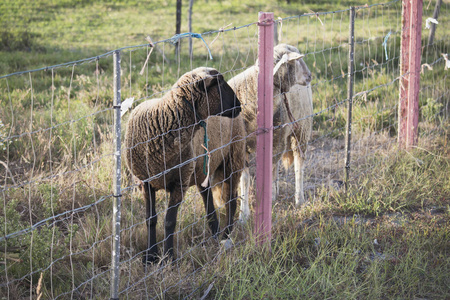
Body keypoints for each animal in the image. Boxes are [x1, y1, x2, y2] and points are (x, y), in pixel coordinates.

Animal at [123, 67, 243, 262]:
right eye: (219, 84)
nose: (239, 106)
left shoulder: (180, 182)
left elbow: (169, 221)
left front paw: (168, 257)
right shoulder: (145, 182)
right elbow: (151, 219)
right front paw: (151, 256)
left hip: (233, 159)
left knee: (231, 200)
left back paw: (226, 236)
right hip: (203, 169)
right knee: (208, 200)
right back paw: (215, 233)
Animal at [229, 43, 312, 221]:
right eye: (296, 61)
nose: (310, 76)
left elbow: (269, 171)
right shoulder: (241, 145)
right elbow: (244, 179)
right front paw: (243, 215)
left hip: (301, 130)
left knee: (298, 165)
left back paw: (298, 198)